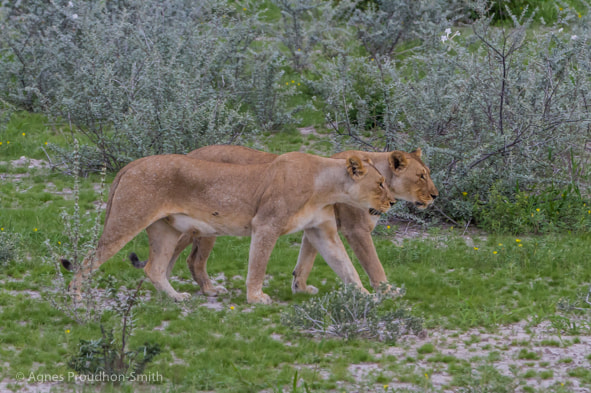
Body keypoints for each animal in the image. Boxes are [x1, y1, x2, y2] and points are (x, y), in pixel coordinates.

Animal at [62, 151, 396, 304]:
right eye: (380, 183)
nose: (392, 201)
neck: (325, 186)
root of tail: (130, 165)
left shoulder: (321, 230)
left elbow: (346, 266)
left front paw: (366, 294)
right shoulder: (266, 223)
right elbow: (258, 264)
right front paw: (256, 298)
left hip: (164, 230)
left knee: (153, 269)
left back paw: (177, 298)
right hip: (126, 220)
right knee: (89, 260)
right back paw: (76, 297)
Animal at [134, 145, 440, 296]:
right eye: (421, 176)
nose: (436, 195)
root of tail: (192, 154)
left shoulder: (317, 225)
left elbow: (306, 260)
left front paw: (300, 287)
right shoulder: (355, 230)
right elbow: (373, 264)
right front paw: (388, 290)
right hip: (204, 226)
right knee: (189, 257)